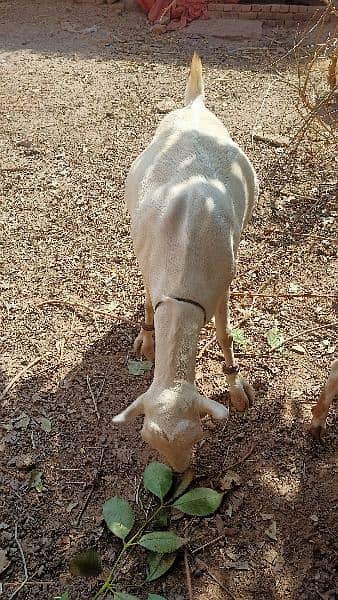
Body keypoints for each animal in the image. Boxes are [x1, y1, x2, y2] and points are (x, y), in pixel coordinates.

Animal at [113, 54, 258, 472]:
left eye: (196, 435)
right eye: (148, 441)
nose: (179, 473)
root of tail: (194, 104)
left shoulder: (222, 282)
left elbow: (225, 335)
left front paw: (236, 388)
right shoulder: (149, 265)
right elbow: (147, 301)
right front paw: (146, 339)